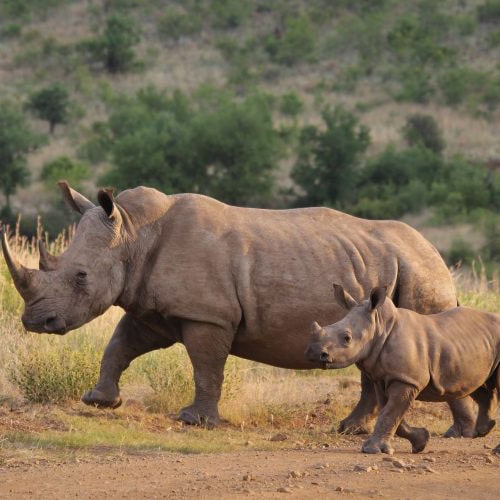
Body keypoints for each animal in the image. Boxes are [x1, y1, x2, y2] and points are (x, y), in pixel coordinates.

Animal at [0, 183, 474, 434]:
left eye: (80, 276)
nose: (35, 321)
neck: (132, 234)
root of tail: (435, 253)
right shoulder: (152, 308)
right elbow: (120, 345)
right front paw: (99, 401)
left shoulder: (207, 314)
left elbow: (206, 366)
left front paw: (195, 421)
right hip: (392, 271)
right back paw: (352, 429)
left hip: (419, 273)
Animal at [304, 284, 500, 456]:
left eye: (347, 338)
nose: (314, 352)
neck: (379, 326)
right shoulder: (382, 378)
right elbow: (391, 414)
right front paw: (421, 441)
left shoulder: (406, 379)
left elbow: (389, 413)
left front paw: (371, 450)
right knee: (477, 384)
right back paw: (483, 430)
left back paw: (496, 450)